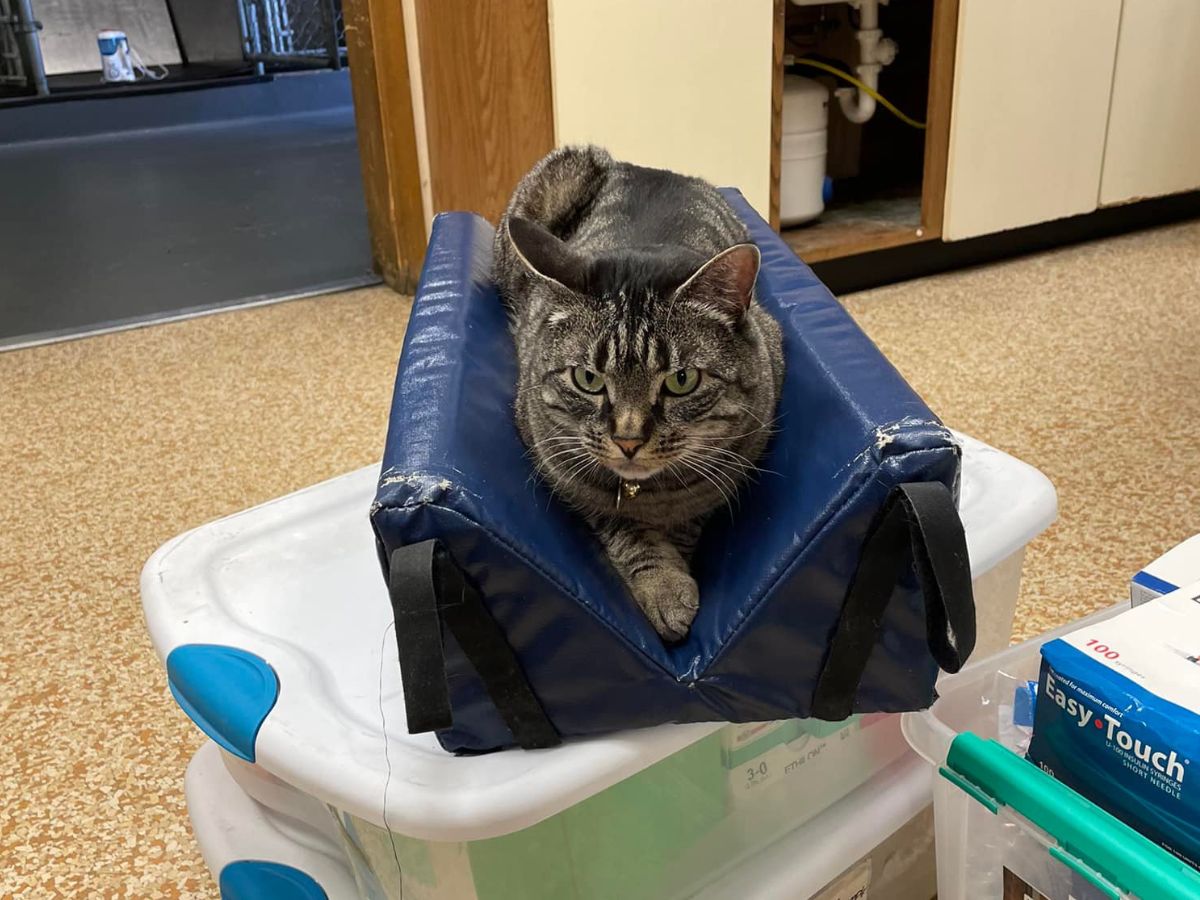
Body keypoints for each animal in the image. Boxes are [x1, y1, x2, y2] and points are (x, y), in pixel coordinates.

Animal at [492, 148, 782, 643]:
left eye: (681, 380)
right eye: (588, 378)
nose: (628, 440)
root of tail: (639, 165)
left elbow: (689, 516)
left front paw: (677, 558)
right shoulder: (565, 475)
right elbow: (625, 530)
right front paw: (664, 585)